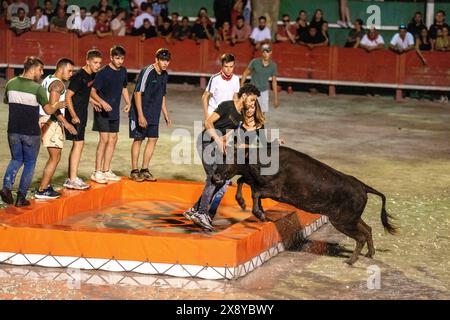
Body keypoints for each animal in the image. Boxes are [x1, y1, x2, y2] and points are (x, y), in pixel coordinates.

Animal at [212, 146, 398, 264]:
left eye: (229, 159)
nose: (215, 177)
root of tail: (362, 187)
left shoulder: (275, 191)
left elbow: (254, 192)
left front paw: (260, 214)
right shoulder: (257, 183)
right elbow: (243, 182)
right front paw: (244, 203)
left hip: (342, 222)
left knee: (360, 236)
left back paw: (351, 261)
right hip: (350, 219)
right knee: (368, 229)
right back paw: (369, 254)